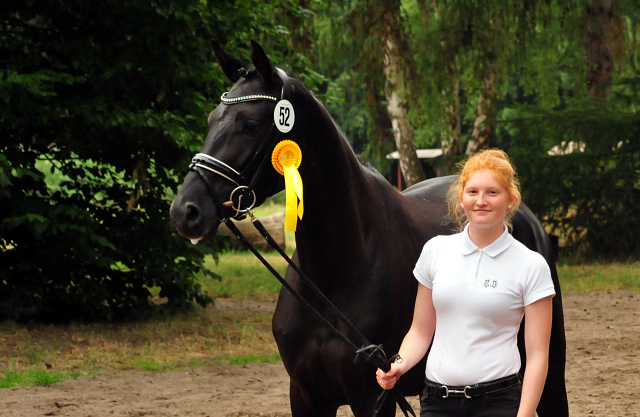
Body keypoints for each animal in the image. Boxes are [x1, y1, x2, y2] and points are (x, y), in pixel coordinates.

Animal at [170, 39, 568, 416]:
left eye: (250, 124)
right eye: (212, 119)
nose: (185, 211)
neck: (336, 269)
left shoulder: (372, 397)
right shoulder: (306, 397)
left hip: (549, 371)